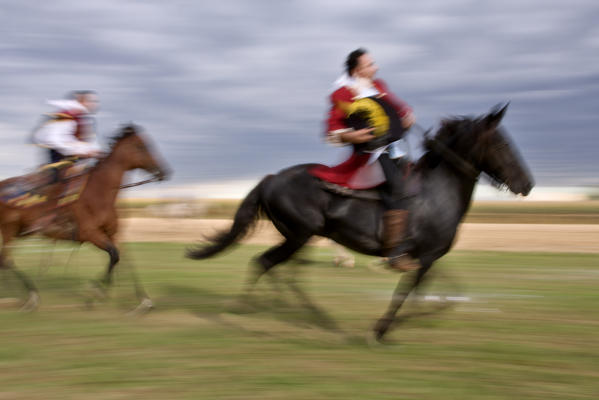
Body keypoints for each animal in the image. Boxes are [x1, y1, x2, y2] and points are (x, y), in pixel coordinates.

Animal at [0, 123, 170, 310]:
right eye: (141, 146)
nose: (163, 172)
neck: (99, 193)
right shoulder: (90, 234)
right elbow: (114, 255)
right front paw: (96, 292)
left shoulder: (113, 233)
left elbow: (124, 259)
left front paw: (144, 301)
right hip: (9, 230)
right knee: (6, 260)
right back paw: (31, 296)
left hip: (18, 231)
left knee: (4, 261)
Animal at [188, 104, 536, 340]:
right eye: (502, 144)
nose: (528, 184)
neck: (437, 190)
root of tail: (272, 178)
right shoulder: (424, 257)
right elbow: (406, 293)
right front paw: (380, 329)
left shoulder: (428, 257)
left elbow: (439, 291)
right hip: (299, 235)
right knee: (267, 263)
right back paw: (253, 310)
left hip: (300, 237)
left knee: (280, 269)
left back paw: (297, 310)